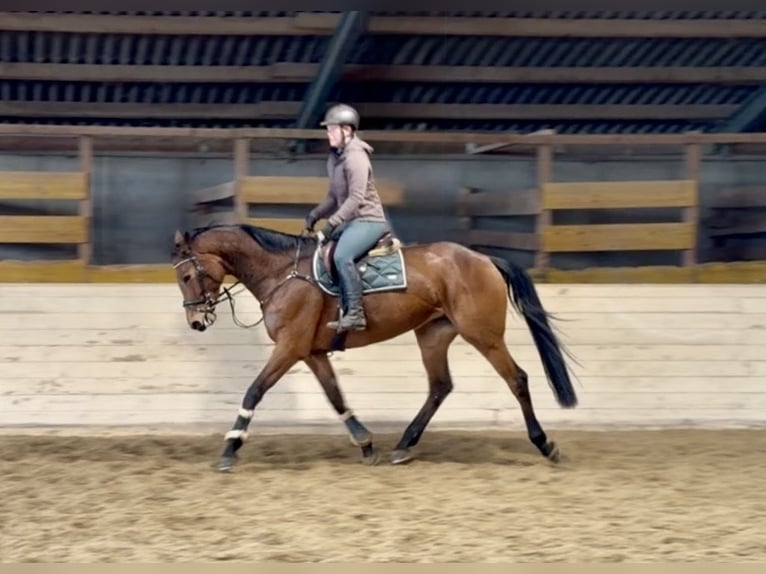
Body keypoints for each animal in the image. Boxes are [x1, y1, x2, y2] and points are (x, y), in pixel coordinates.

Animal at [170, 223, 578, 472]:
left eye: (188, 275)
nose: (196, 321)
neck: (284, 273)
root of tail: (482, 258)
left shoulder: (289, 348)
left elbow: (254, 391)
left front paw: (230, 447)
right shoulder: (311, 352)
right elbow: (336, 397)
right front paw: (366, 444)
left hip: (484, 335)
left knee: (517, 379)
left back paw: (545, 444)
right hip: (433, 335)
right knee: (439, 387)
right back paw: (403, 445)